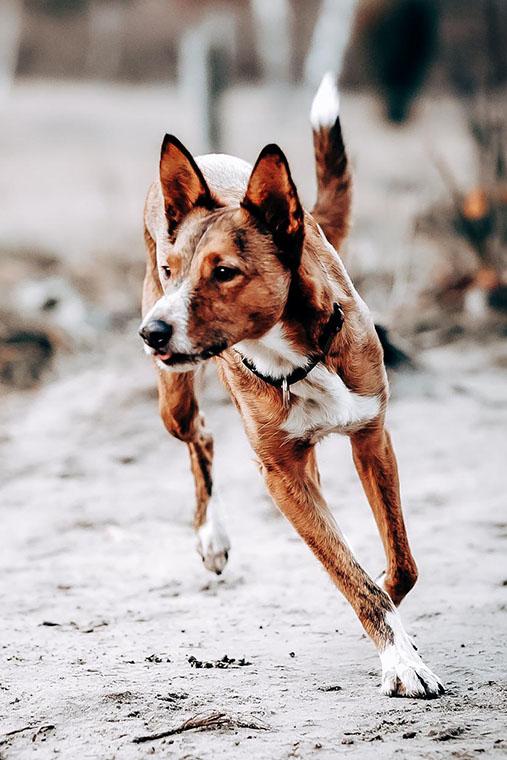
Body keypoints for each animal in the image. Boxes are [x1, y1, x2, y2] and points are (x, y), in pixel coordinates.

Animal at [139, 74, 444, 696]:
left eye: (224, 271)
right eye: (170, 269)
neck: (297, 357)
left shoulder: (372, 438)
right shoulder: (281, 476)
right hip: (173, 396)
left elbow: (397, 567)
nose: (151, 333)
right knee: (200, 435)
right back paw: (212, 538)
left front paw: (390, 620)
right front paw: (401, 659)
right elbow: (352, 575)